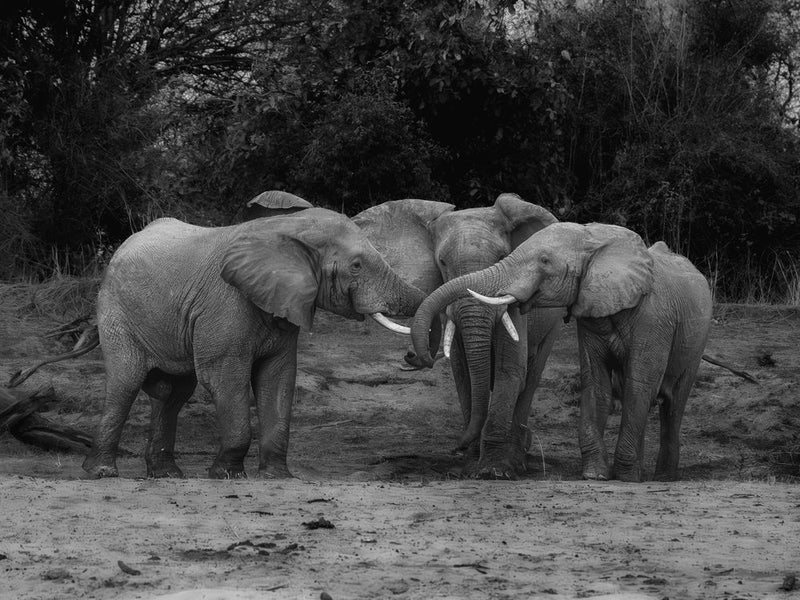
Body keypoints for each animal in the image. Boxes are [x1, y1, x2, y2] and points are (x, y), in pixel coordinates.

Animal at [82, 207, 425, 479]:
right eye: (356, 266)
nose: (409, 357)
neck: (290, 226)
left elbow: (278, 378)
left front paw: (277, 476)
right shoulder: (225, 303)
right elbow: (224, 377)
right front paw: (227, 474)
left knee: (173, 393)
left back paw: (166, 475)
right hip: (116, 313)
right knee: (126, 382)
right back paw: (102, 472)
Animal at [353, 194, 563, 479]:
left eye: (503, 256)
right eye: (442, 262)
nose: (409, 355)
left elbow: (510, 369)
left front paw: (494, 471)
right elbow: (464, 375)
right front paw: (471, 465)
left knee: (531, 376)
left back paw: (518, 457)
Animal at [408, 222, 712, 482]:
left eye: (544, 260)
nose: (417, 357)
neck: (597, 241)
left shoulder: (654, 319)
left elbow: (640, 385)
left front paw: (625, 478)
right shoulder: (590, 313)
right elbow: (596, 385)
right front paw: (596, 475)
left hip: (697, 340)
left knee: (674, 405)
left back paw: (664, 477)